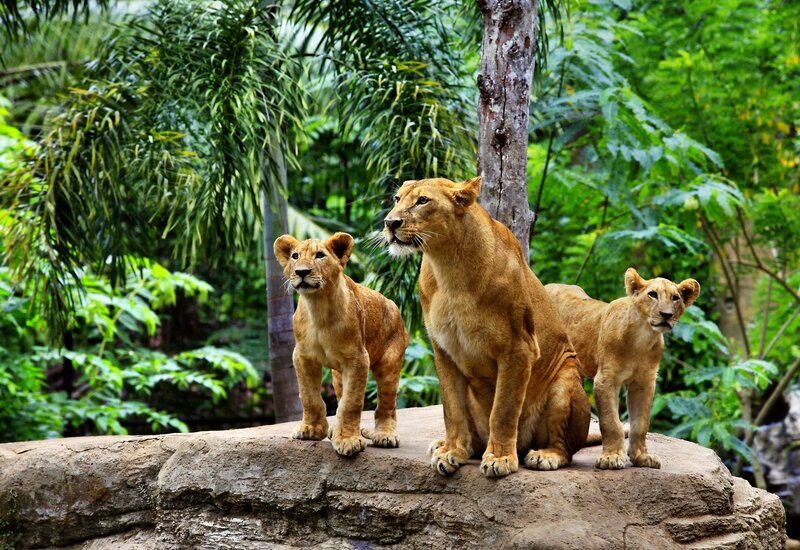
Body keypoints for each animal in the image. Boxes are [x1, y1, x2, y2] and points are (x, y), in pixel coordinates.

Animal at [273, 232, 408, 456]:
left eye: (320, 255)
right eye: (295, 256)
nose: (301, 272)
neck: (318, 307)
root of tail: (393, 305)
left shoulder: (358, 359)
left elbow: (351, 403)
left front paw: (347, 440)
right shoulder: (302, 357)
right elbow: (310, 396)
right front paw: (311, 429)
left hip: (389, 364)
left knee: (386, 405)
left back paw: (385, 435)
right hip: (337, 375)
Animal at [383, 176, 590, 477]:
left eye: (423, 201)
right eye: (397, 199)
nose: (390, 222)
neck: (448, 265)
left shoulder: (519, 349)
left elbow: (503, 410)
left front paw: (500, 459)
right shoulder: (443, 350)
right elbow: (451, 409)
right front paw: (452, 452)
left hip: (566, 380)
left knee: (565, 447)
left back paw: (545, 455)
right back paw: (450, 445)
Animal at [545, 268, 700, 469]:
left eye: (675, 298)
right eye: (653, 294)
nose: (666, 314)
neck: (642, 339)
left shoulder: (644, 383)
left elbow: (641, 424)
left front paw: (642, 457)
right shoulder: (606, 380)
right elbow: (611, 421)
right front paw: (611, 457)